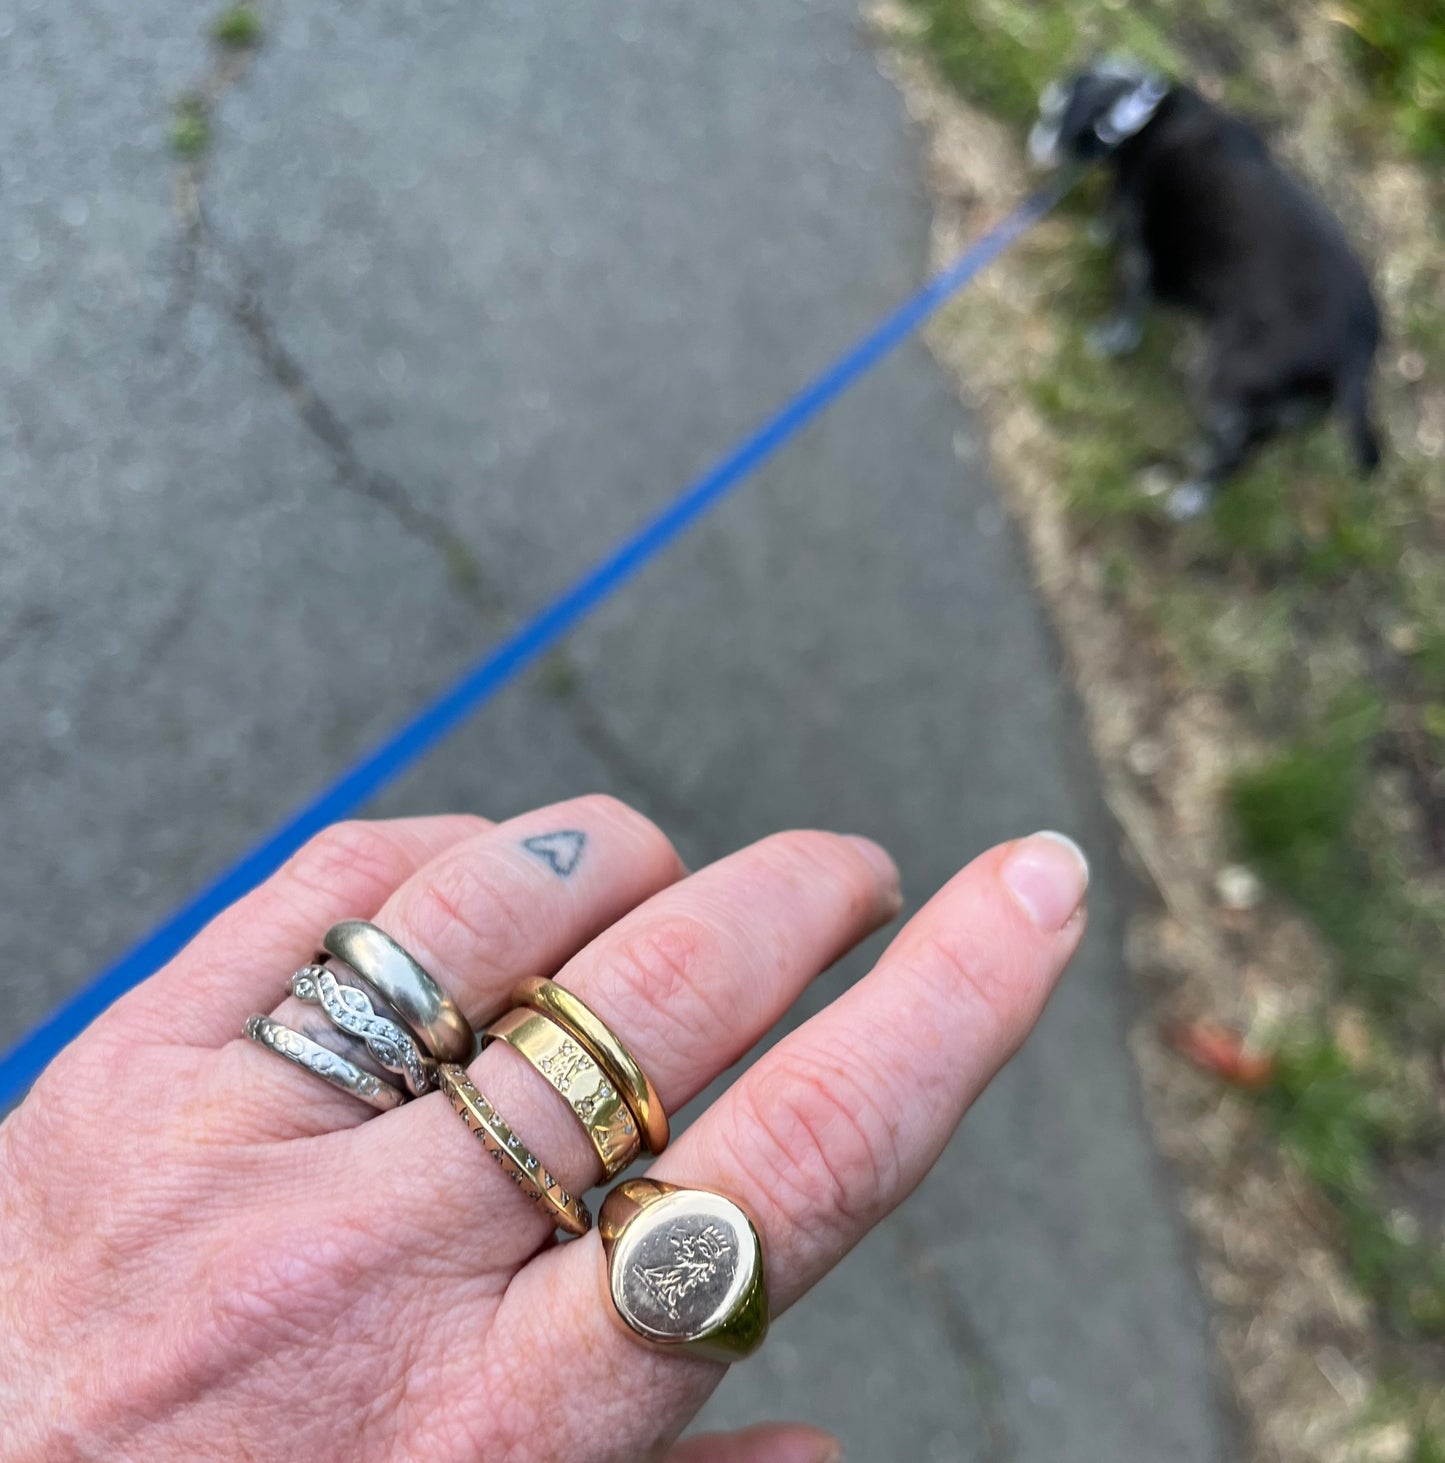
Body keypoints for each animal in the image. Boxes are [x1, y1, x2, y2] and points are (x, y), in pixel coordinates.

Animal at [1029, 62, 1374, 520]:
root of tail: (1360, 350)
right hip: (1270, 410)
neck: (1140, 114)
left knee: (1233, 457)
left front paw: (1106, 341)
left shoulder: (1140, 258)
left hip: (1225, 375)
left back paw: (1189, 500)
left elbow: (1127, 311)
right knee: (1245, 451)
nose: (1035, 138)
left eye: (1055, 114)